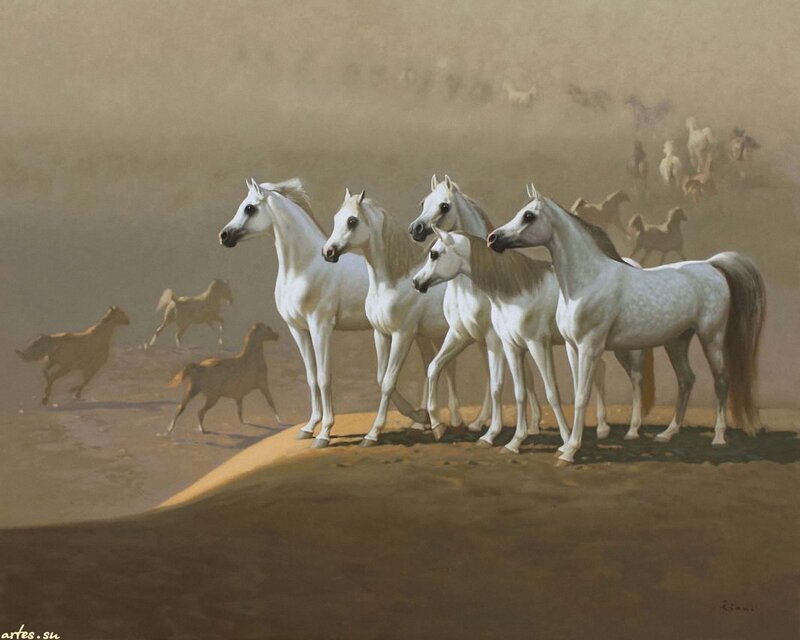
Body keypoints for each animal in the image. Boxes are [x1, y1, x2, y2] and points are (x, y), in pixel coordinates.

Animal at [219, 179, 443, 448]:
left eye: (250, 208)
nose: (224, 235)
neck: (304, 268)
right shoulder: (298, 330)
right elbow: (311, 377)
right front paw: (308, 428)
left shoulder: (321, 327)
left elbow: (325, 377)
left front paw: (325, 432)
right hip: (418, 333)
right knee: (428, 363)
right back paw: (422, 419)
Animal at [323, 189, 464, 446]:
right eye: (337, 218)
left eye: (352, 221)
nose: (328, 252)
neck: (392, 283)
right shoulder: (381, 334)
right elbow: (381, 378)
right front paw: (419, 416)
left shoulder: (402, 336)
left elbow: (389, 382)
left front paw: (373, 433)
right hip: (440, 335)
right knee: (446, 368)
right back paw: (452, 423)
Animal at [413, 228, 641, 453]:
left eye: (434, 254)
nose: (416, 282)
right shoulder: (463, 336)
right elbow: (434, 368)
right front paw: (439, 426)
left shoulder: (511, 342)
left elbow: (506, 387)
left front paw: (563, 439)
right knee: (601, 371)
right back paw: (602, 428)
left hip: (625, 346)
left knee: (635, 378)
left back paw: (630, 431)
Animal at [489, 184, 766, 465]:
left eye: (529, 216)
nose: (493, 239)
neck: (587, 282)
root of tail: (712, 266)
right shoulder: (572, 347)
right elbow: (577, 393)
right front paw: (567, 445)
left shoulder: (590, 347)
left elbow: (582, 396)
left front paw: (570, 450)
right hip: (678, 341)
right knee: (686, 379)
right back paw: (667, 433)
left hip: (712, 337)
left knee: (720, 380)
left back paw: (718, 437)